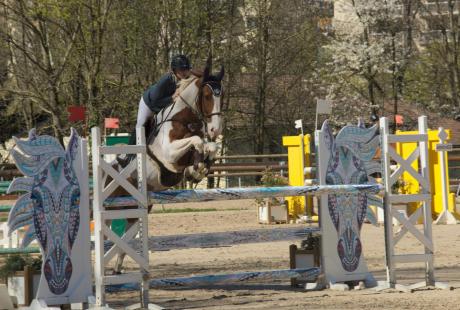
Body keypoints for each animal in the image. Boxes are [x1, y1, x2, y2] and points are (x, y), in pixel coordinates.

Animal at [111, 59, 226, 272]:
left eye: (221, 95)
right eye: (207, 96)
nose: (215, 130)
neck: (184, 119)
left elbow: (209, 146)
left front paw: (198, 170)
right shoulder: (170, 155)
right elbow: (197, 141)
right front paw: (198, 168)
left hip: (138, 206)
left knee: (127, 234)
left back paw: (117, 268)